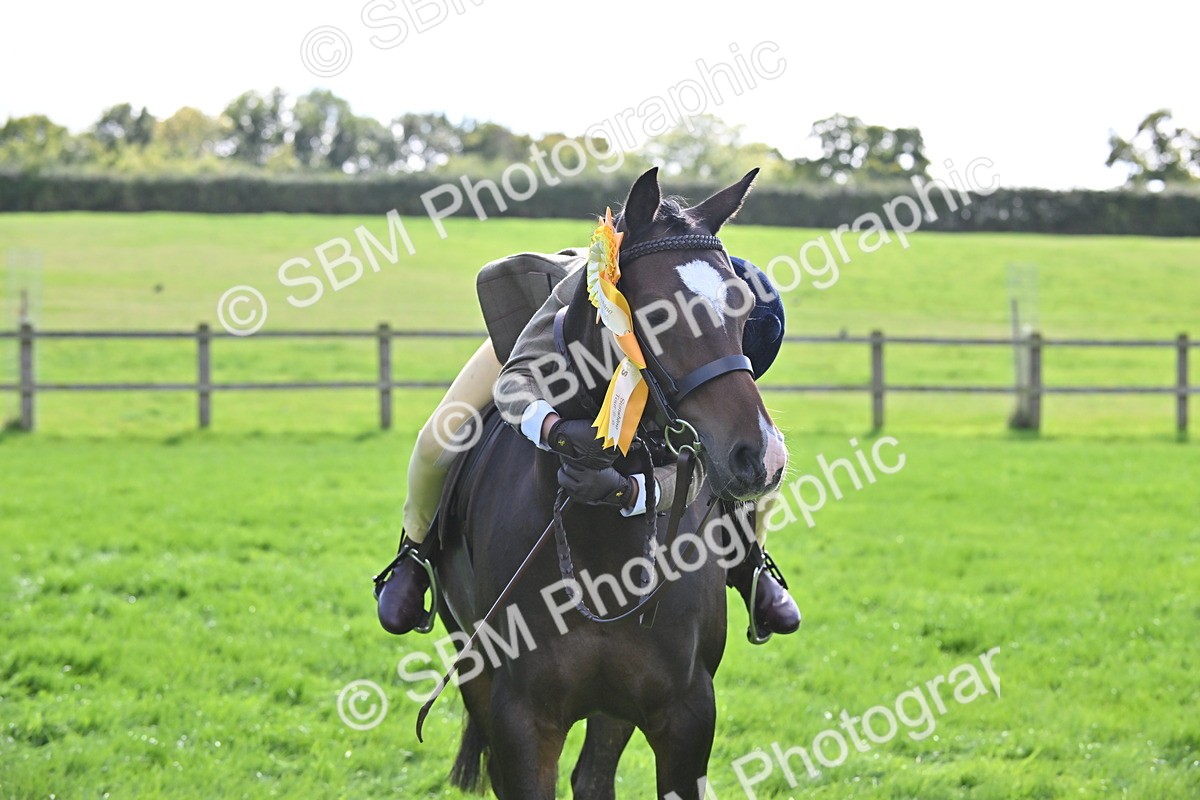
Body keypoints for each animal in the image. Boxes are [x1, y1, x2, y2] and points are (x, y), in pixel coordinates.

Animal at [431, 167, 787, 799]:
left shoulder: (686, 714)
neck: (601, 549)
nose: (761, 456)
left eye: (743, 308)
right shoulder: (521, 720)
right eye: (659, 314)